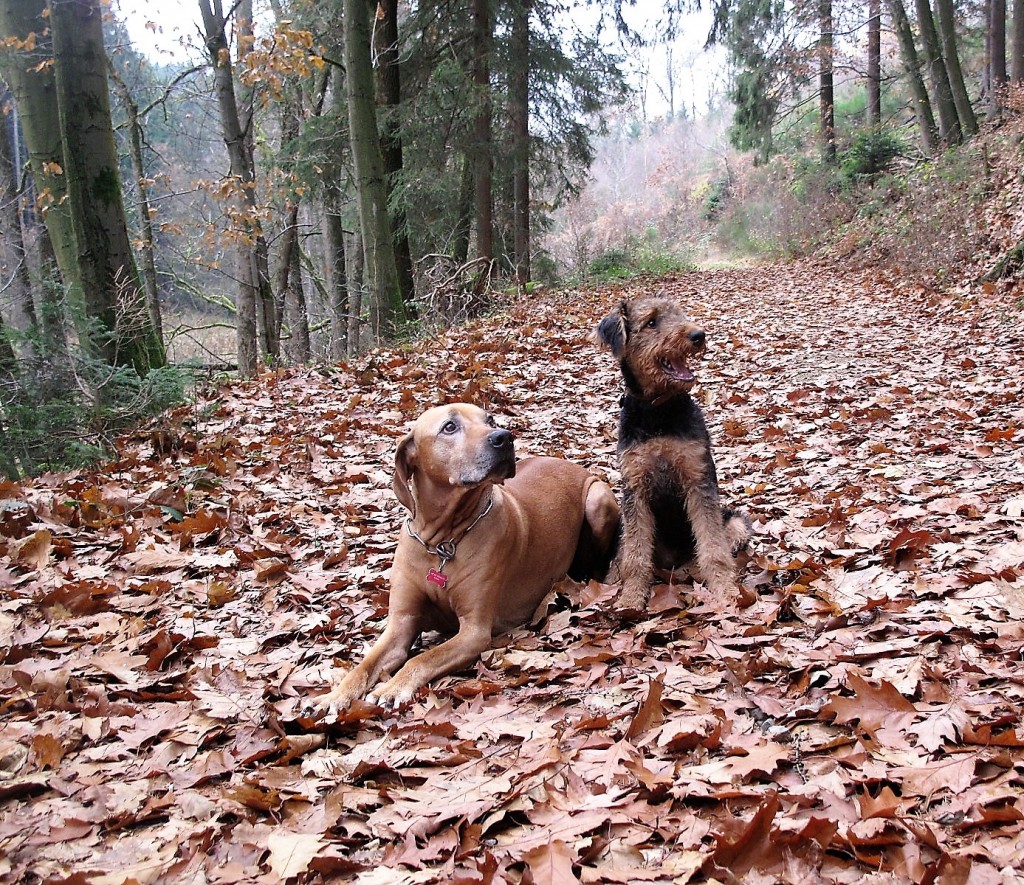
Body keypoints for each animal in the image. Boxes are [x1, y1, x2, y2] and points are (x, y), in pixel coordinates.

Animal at [311, 403, 620, 715]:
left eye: (490, 420)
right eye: (449, 427)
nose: (504, 437)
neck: (441, 542)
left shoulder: (474, 632)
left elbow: (422, 658)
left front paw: (393, 687)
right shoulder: (401, 623)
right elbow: (363, 665)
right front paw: (334, 696)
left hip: (597, 499)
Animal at [597, 295, 751, 609]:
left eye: (679, 313)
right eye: (651, 322)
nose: (698, 335)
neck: (659, 412)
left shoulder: (698, 479)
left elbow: (713, 549)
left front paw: (725, 591)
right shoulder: (635, 489)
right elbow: (635, 557)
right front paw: (631, 598)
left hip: (736, 522)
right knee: (623, 556)